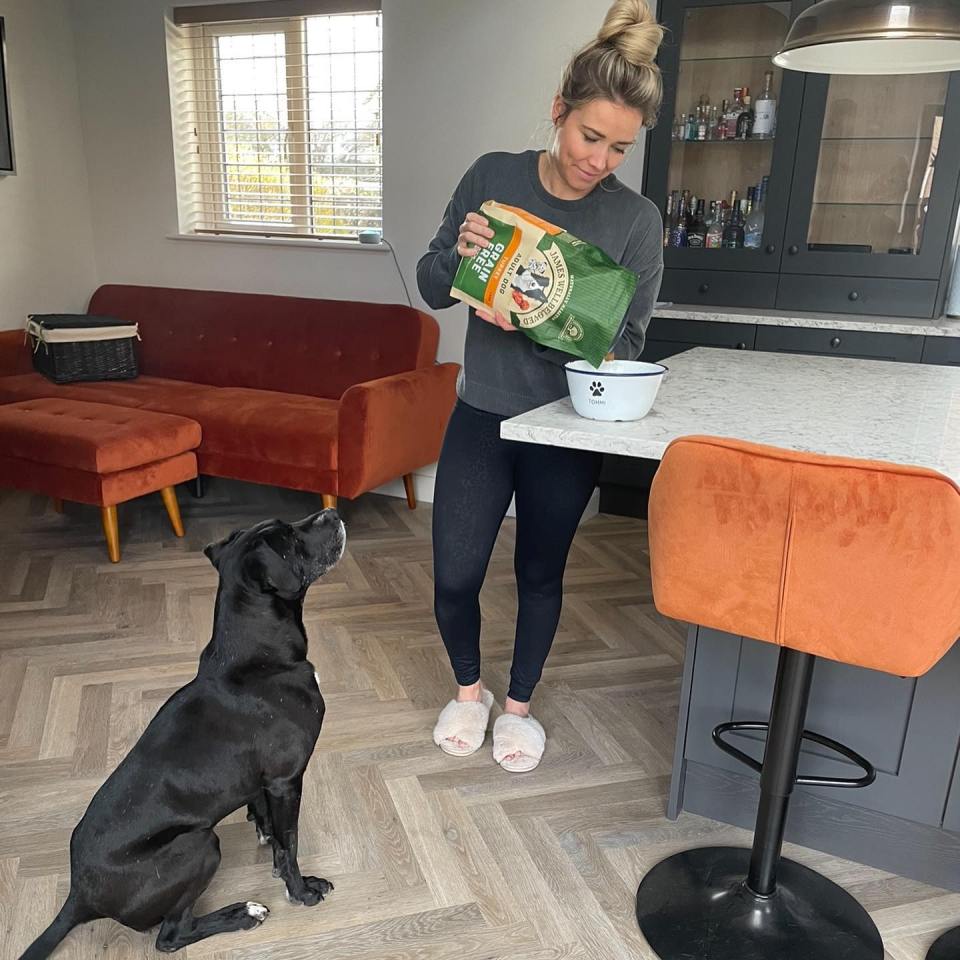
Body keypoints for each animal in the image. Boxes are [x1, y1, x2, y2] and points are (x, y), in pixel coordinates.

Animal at [20, 506, 344, 956]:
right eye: (291, 540)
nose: (331, 512)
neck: (259, 656)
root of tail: (80, 897)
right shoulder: (286, 780)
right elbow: (291, 843)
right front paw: (302, 890)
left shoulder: (265, 781)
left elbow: (269, 824)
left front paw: (265, 836)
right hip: (199, 845)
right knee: (171, 936)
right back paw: (243, 913)